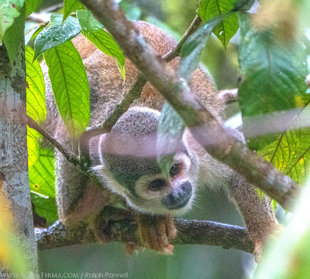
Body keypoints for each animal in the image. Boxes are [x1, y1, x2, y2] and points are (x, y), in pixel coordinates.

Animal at [43, 21, 276, 258]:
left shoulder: (205, 140)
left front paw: (264, 231)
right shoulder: (94, 149)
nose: (177, 193)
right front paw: (150, 220)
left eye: (175, 170)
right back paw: (81, 213)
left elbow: (242, 165)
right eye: (156, 184)